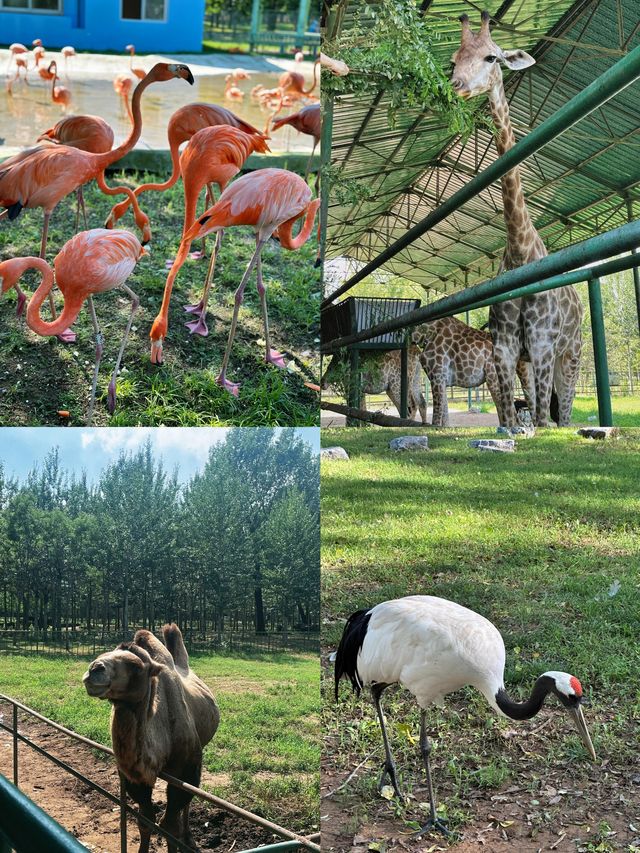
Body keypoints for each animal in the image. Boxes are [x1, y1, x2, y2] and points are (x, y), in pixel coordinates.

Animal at [84, 624, 219, 852]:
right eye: (103, 654)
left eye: (136, 666)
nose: (94, 669)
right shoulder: (134, 778)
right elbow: (145, 820)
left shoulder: (186, 770)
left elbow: (170, 826)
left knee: (187, 805)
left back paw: (189, 837)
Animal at [448, 13, 584, 426]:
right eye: (453, 60)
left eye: (492, 57)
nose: (457, 85)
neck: (521, 252)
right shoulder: (506, 348)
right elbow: (509, 419)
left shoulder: (542, 345)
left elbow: (541, 419)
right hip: (531, 362)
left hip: (571, 354)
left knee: (562, 414)